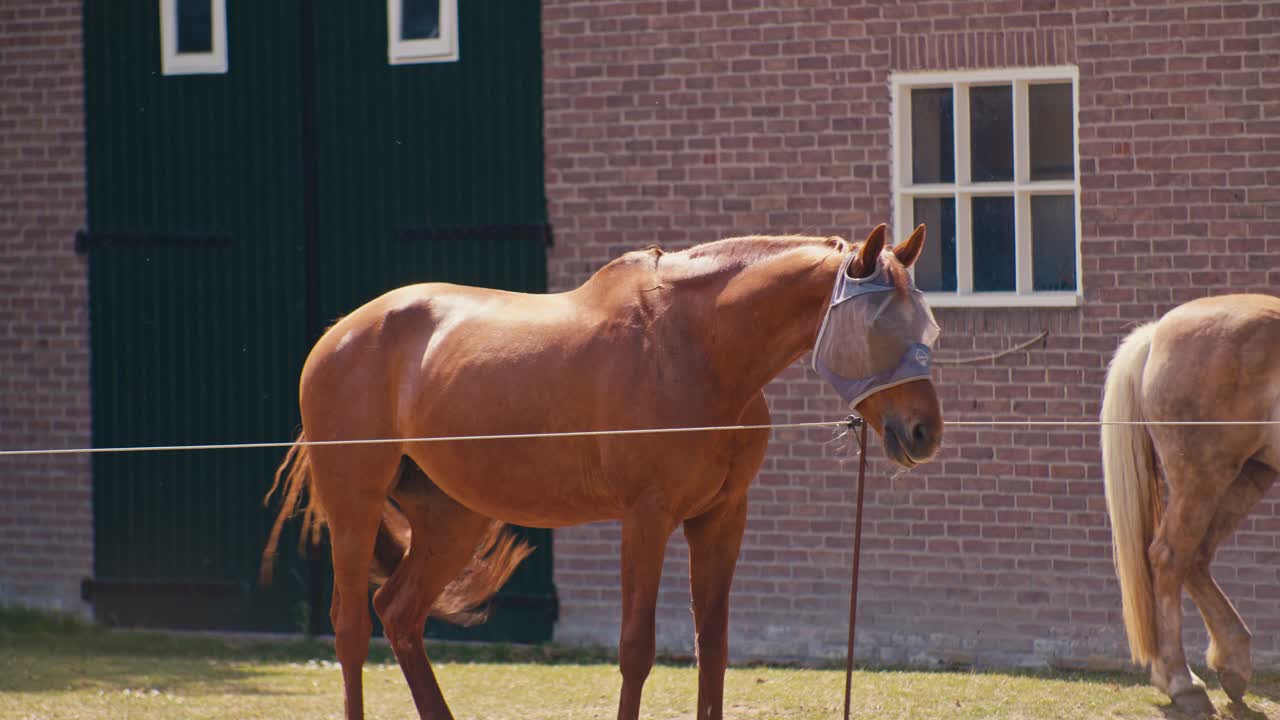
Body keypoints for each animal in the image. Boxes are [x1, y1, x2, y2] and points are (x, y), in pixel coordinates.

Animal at [261, 223, 945, 720]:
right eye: (878, 325)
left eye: (928, 324)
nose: (924, 432)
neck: (697, 349)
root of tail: (340, 334)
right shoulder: (646, 518)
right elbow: (636, 650)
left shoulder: (721, 519)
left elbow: (713, 647)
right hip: (354, 503)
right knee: (351, 628)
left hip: (453, 519)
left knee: (399, 613)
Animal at [1103, 293, 1280, 715]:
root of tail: (1158, 333)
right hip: (1203, 478)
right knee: (1168, 558)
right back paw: (1183, 683)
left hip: (1247, 475)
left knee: (1195, 559)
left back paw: (1232, 663)